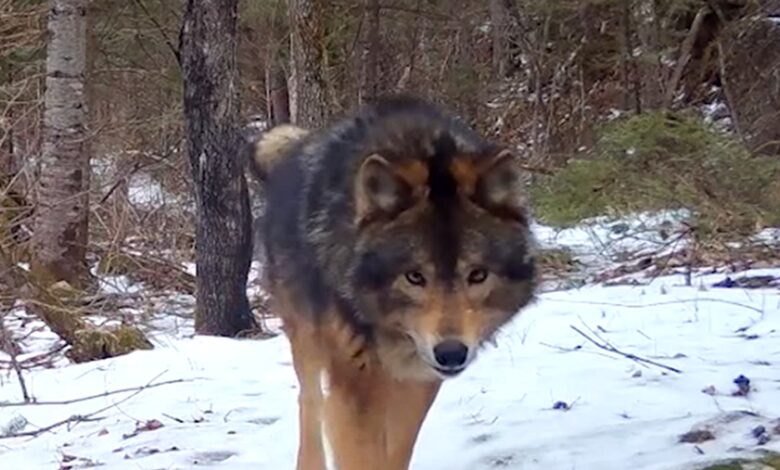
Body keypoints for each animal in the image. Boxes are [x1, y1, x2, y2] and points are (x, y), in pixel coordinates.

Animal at [250, 96, 536, 470]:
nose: (451, 353)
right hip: (307, 337)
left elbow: (397, 450)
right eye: (415, 276)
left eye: (477, 275)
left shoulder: (418, 379)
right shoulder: (354, 382)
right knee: (309, 401)